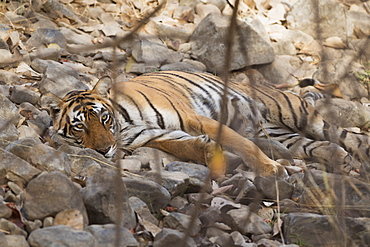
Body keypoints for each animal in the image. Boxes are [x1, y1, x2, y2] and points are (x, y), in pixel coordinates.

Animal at [41, 70, 370, 177]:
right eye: (80, 126)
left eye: (103, 118)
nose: (103, 151)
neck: (125, 123)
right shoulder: (154, 135)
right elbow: (184, 147)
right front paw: (210, 154)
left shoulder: (194, 118)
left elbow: (242, 143)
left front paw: (269, 169)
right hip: (282, 134)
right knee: (311, 145)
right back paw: (338, 158)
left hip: (296, 111)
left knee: (346, 135)